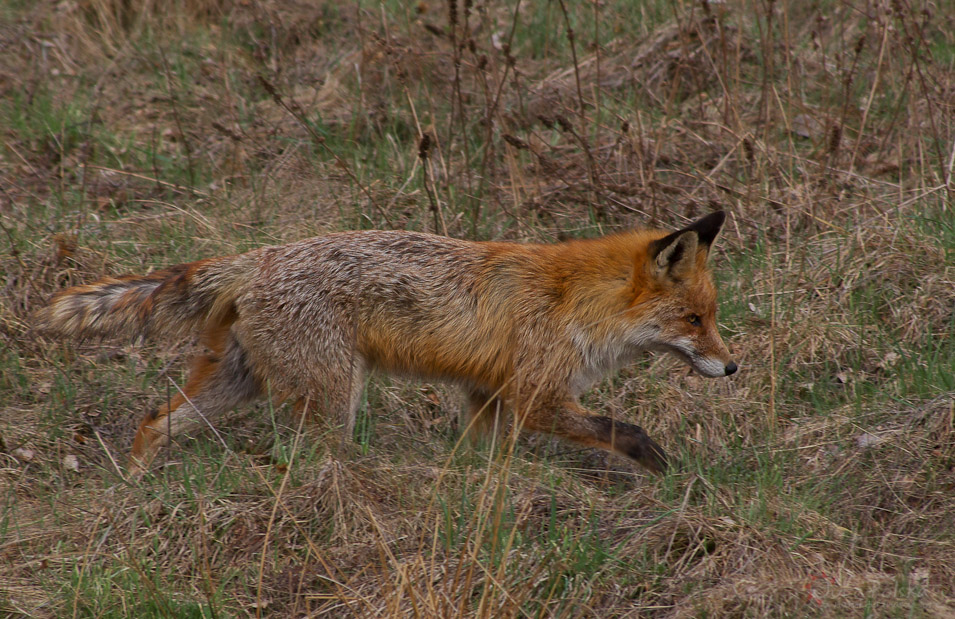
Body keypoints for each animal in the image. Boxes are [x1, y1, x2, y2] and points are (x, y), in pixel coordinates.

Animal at [37, 211, 740, 478]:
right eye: (694, 320)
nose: (734, 366)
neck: (575, 304)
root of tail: (257, 257)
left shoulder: (485, 396)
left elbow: (477, 458)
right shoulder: (534, 396)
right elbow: (624, 430)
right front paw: (664, 469)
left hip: (234, 382)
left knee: (154, 421)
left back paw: (134, 490)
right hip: (333, 397)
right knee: (315, 462)